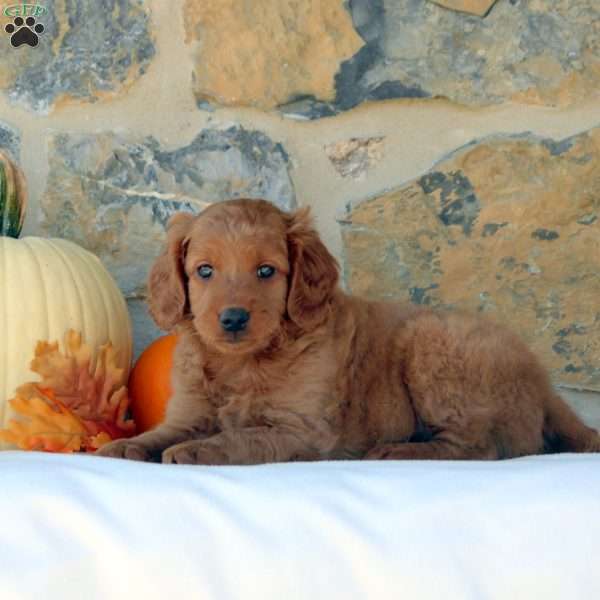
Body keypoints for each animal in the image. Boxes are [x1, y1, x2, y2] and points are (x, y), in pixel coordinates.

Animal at [98, 198, 600, 464]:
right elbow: (159, 434)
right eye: (204, 271)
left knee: (483, 446)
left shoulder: (302, 430)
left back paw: (396, 452)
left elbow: (241, 437)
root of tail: (544, 382)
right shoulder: (187, 413)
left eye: (266, 271)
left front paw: (196, 451)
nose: (234, 319)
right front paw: (124, 446)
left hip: (433, 346)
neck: (242, 363)